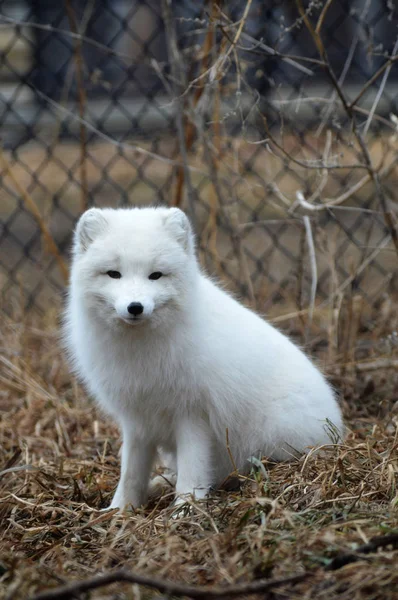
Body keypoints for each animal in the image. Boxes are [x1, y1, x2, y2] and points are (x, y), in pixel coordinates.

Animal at [64, 205, 342, 506]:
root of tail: (339, 429)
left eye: (156, 275)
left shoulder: (193, 413)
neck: (139, 350)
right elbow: (130, 474)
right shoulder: (137, 419)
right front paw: (119, 510)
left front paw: (185, 508)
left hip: (272, 435)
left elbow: (192, 471)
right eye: (114, 274)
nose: (135, 307)